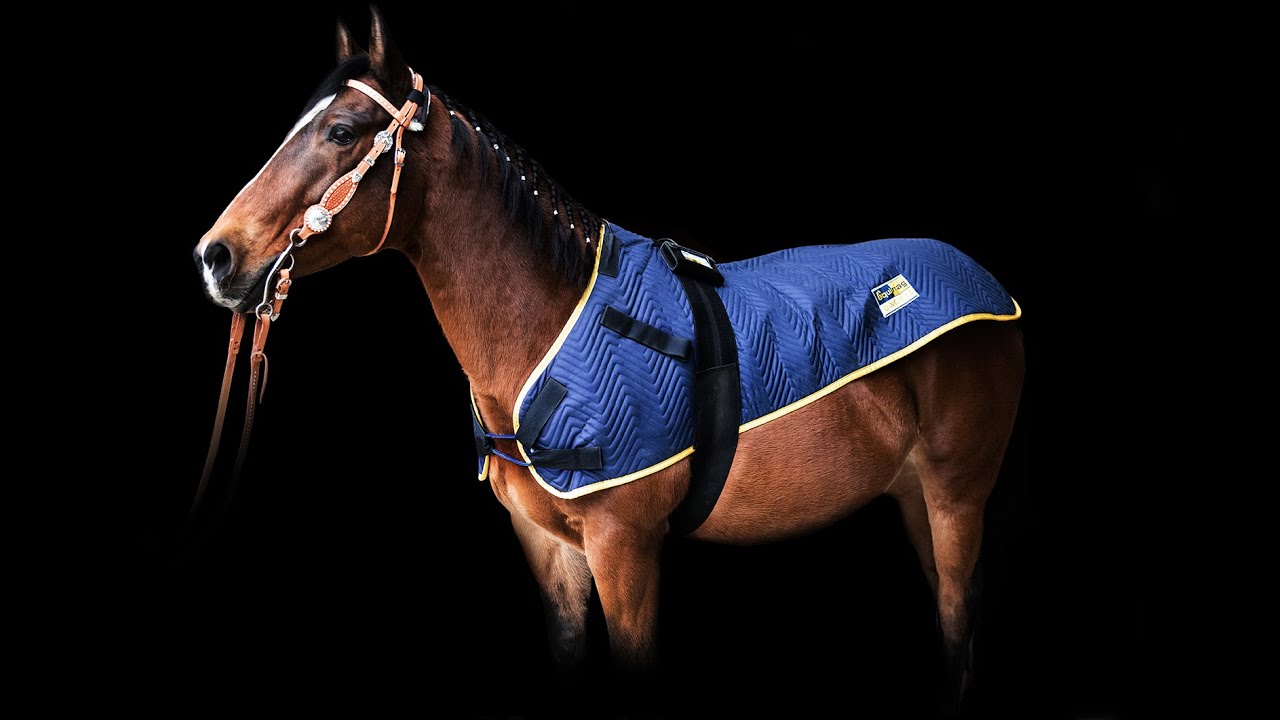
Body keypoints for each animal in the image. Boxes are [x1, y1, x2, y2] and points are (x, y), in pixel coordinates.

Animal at [191, 10, 1024, 711]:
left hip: (956, 497)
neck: (548, 321)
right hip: (913, 494)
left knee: (958, 623)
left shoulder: (626, 549)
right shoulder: (550, 550)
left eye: (340, 131)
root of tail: (988, 283)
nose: (215, 256)